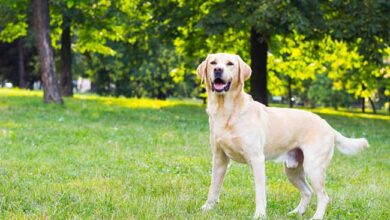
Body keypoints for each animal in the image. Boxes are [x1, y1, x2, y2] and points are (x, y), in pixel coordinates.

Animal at [198, 52, 368, 219]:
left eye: (230, 64)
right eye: (213, 63)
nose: (218, 70)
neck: (226, 111)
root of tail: (328, 126)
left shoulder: (257, 159)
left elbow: (260, 193)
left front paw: (259, 214)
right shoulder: (219, 158)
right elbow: (213, 187)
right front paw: (208, 208)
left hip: (313, 167)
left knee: (323, 196)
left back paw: (316, 216)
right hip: (293, 170)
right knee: (308, 192)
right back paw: (296, 212)